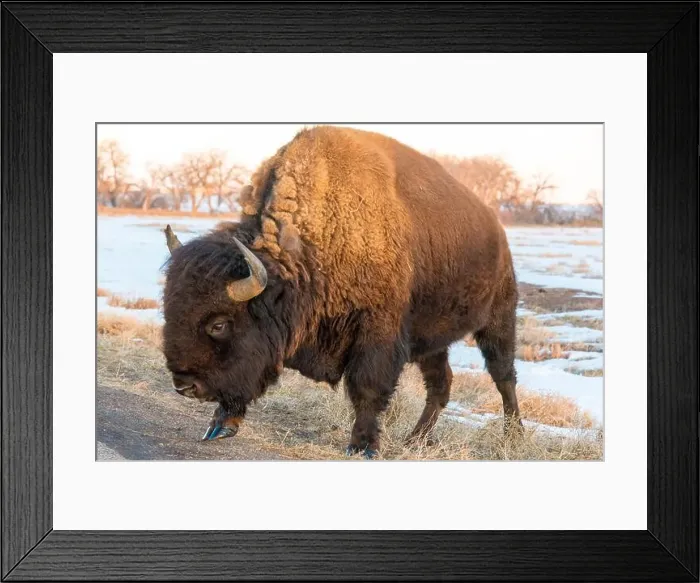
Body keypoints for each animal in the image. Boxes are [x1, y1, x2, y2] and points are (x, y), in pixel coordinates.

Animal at [162, 126, 521, 457]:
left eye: (219, 324)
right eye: (169, 311)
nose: (185, 386)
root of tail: (497, 230)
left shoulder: (377, 334)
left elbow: (367, 387)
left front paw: (362, 446)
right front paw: (219, 426)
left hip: (498, 320)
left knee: (503, 375)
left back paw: (513, 435)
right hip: (432, 340)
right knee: (440, 384)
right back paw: (415, 439)